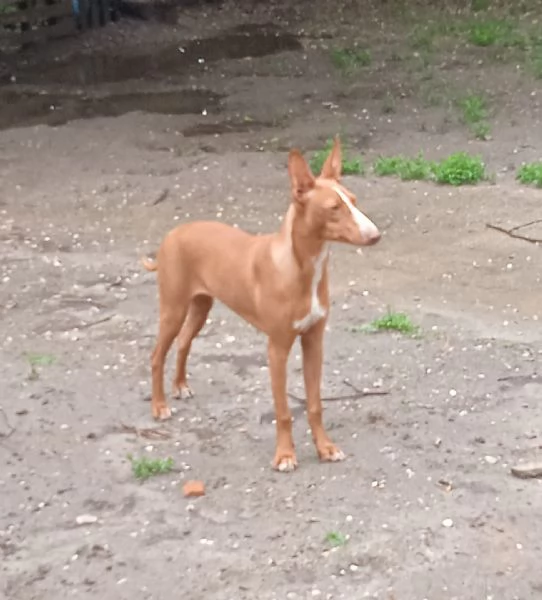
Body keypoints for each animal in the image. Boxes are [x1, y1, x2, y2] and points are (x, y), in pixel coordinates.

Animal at [144, 138, 382, 472]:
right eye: (334, 209)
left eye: (354, 200)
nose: (375, 235)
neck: (304, 268)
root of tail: (174, 232)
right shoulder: (277, 349)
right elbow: (283, 411)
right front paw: (285, 455)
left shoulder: (314, 342)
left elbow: (315, 404)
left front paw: (325, 448)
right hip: (173, 309)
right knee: (156, 356)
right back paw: (159, 405)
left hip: (201, 307)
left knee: (183, 343)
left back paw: (179, 386)